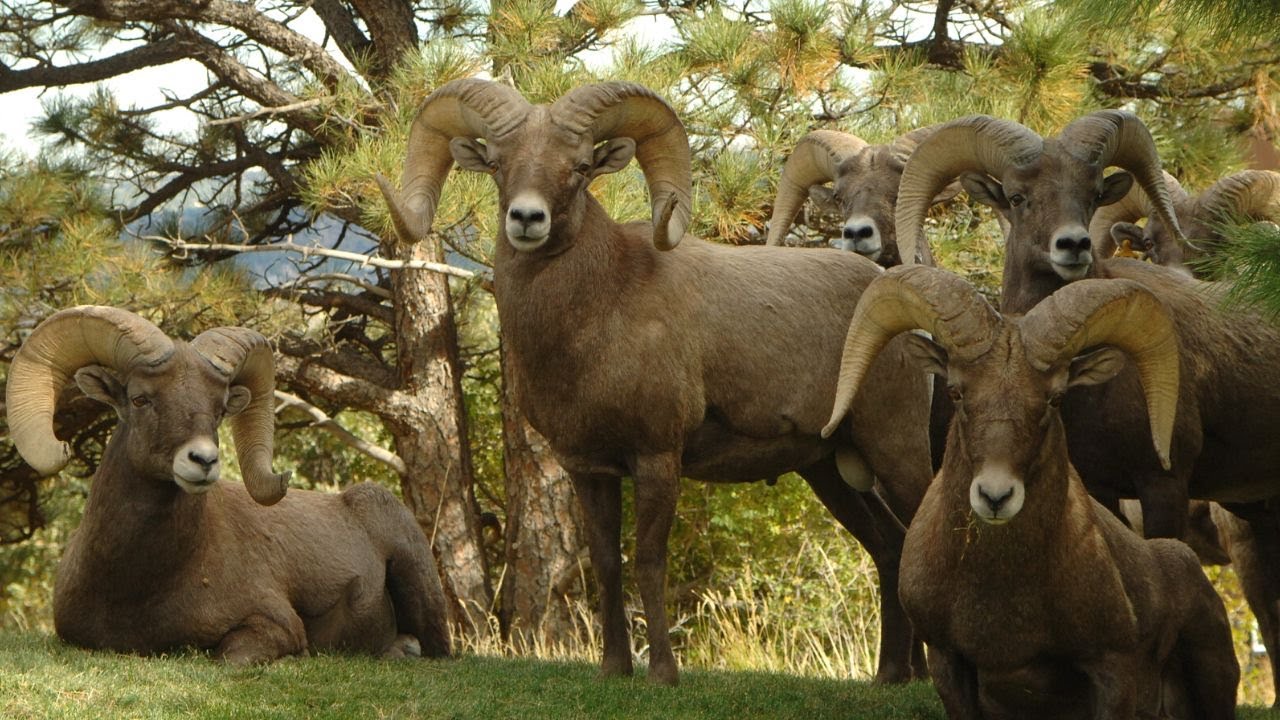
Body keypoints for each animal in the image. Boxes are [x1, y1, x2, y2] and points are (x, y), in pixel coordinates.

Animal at [5, 305, 451, 663]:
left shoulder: (272, 625)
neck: (139, 585)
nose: (203, 460)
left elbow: (230, 658)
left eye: (220, 409)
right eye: (139, 399)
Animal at [376, 78, 936, 685]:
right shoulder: (588, 469)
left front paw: (663, 673)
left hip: (895, 449)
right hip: (830, 471)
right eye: (499, 164)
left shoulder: (657, 460)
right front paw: (614, 669)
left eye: (579, 167)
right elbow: (606, 564)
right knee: (889, 549)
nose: (527, 219)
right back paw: (891, 676)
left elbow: (648, 561)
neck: (597, 315)